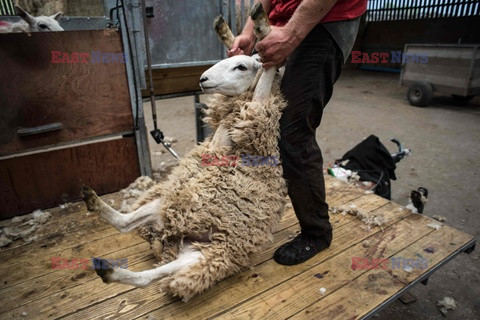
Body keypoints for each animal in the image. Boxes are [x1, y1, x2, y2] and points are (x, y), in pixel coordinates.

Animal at [81, 3, 288, 302]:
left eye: (241, 67)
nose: (203, 79)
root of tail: (176, 235)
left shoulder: (256, 116)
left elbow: (266, 76)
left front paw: (263, 27)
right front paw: (228, 29)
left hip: (201, 255)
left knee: (151, 276)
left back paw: (111, 272)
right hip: (164, 205)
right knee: (125, 223)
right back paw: (94, 204)